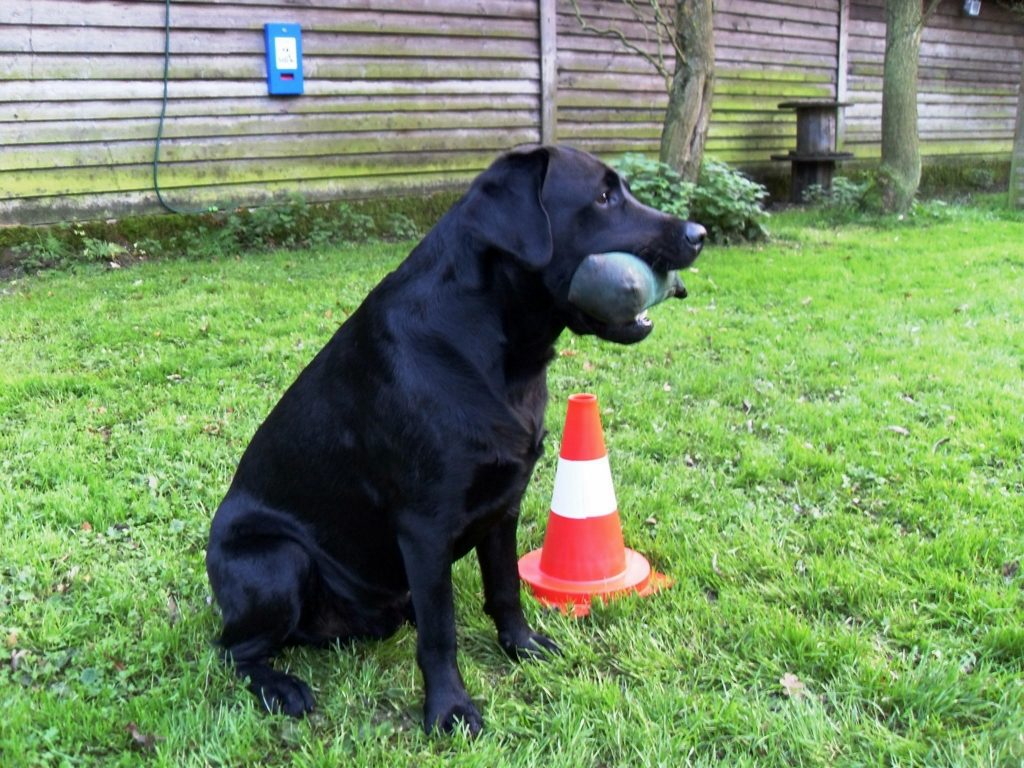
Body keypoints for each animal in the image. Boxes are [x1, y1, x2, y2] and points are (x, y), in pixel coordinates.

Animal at [207, 144, 704, 733]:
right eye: (603, 197)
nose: (698, 233)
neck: (498, 352)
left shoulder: (504, 504)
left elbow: (505, 588)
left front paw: (522, 646)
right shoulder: (425, 524)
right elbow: (440, 631)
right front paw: (449, 708)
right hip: (278, 560)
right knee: (235, 650)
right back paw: (281, 687)